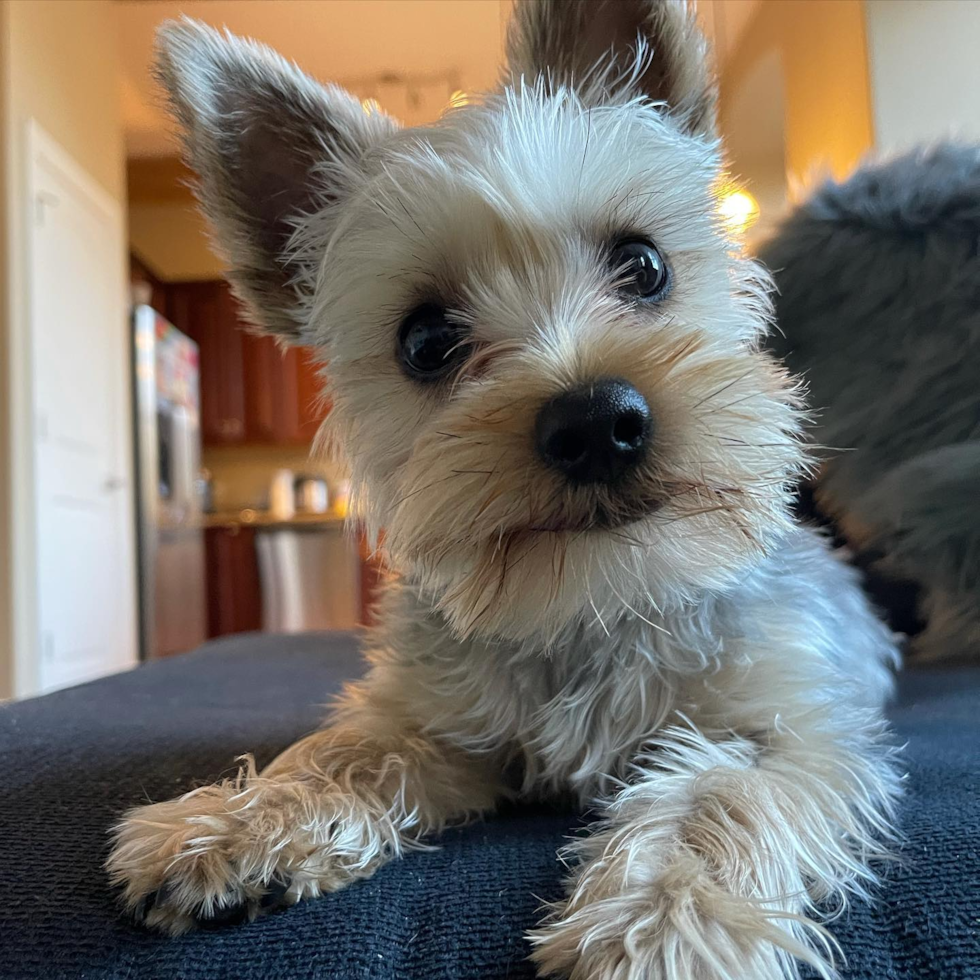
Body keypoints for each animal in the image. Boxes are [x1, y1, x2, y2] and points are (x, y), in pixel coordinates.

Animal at [109, 3, 904, 976]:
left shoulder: (791, 729)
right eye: (424, 341)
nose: (596, 422)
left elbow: (716, 794)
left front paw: (661, 925)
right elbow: (348, 750)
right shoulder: (439, 726)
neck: (592, 600)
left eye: (643, 265)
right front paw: (233, 821)